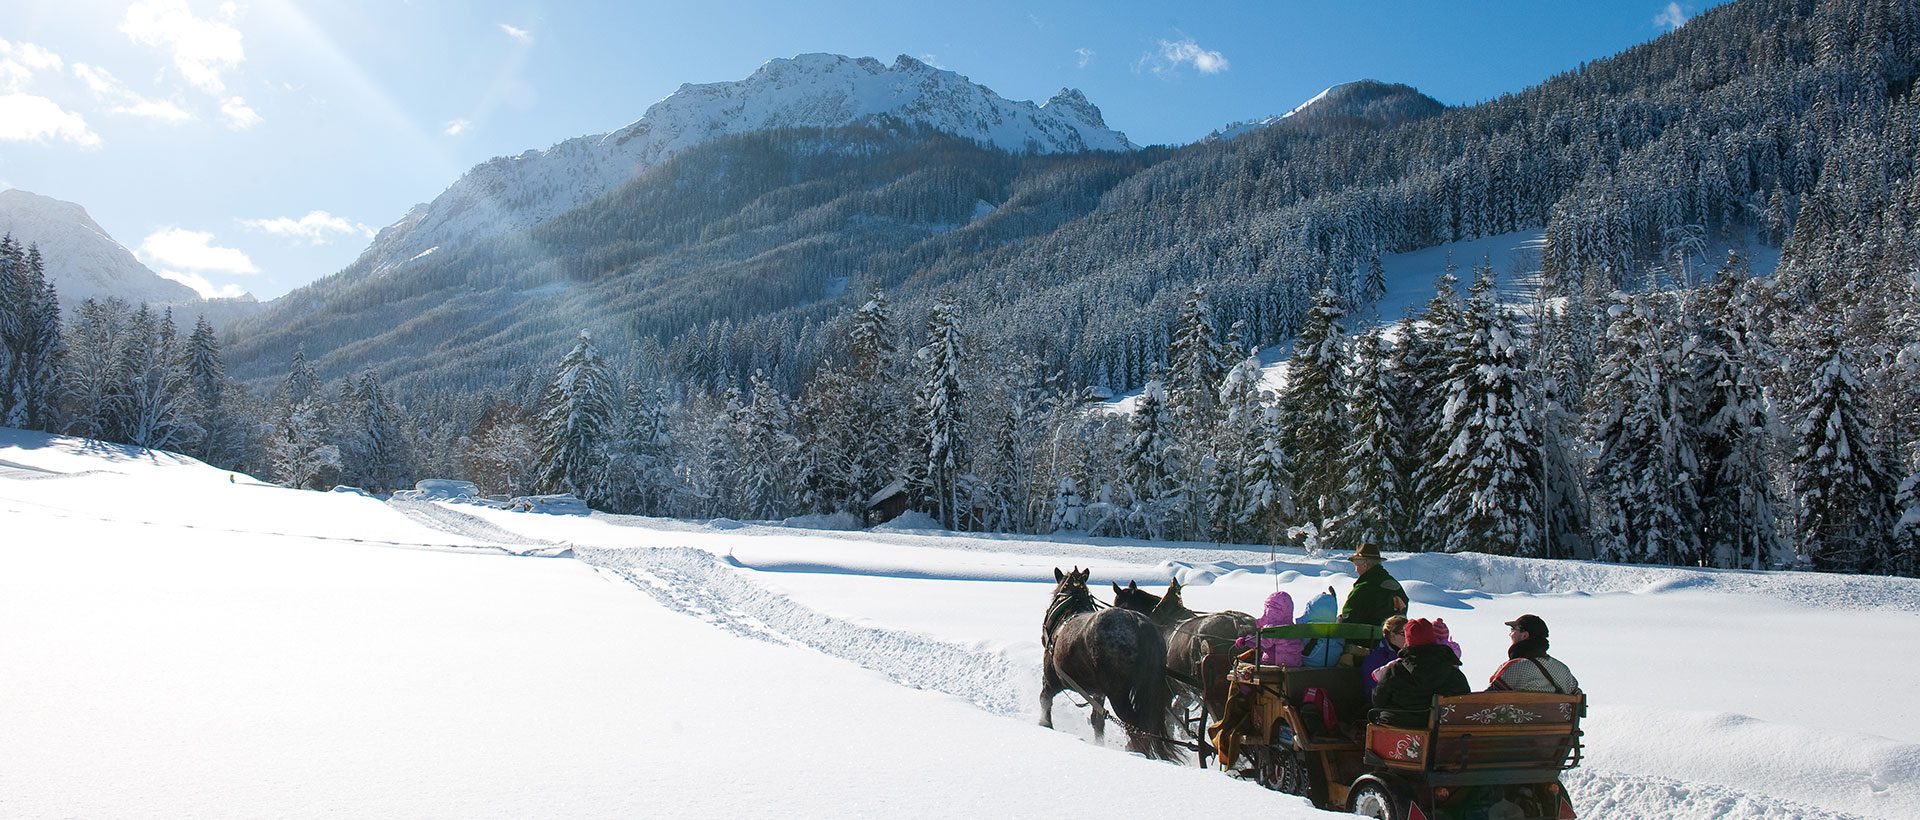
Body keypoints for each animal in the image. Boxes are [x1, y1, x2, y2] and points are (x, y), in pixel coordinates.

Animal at [1044, 568, 1175, 760]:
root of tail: (1139, 624)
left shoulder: (1052, 679)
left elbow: (1045, 703)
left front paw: (1045, 725)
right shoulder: (1098, 693)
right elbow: (1097, 720)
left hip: (1118, 694)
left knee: (1135, 726)